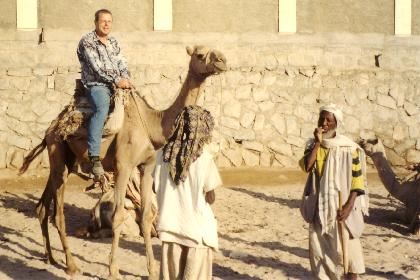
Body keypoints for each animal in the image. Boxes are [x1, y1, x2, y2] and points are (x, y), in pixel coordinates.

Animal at [17, 46, 226, 278]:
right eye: (200, 55)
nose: (222, 60)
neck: (152, 126)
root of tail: (51, 128)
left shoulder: (146, 167)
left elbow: (146, 216)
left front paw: (152, 270)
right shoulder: (123, 167)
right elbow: (118, 216)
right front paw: (113, 270)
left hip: (66, 161)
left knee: (42, 207)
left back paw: (51, 258)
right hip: (58, 152)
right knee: (58, 214)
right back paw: (71, 265)